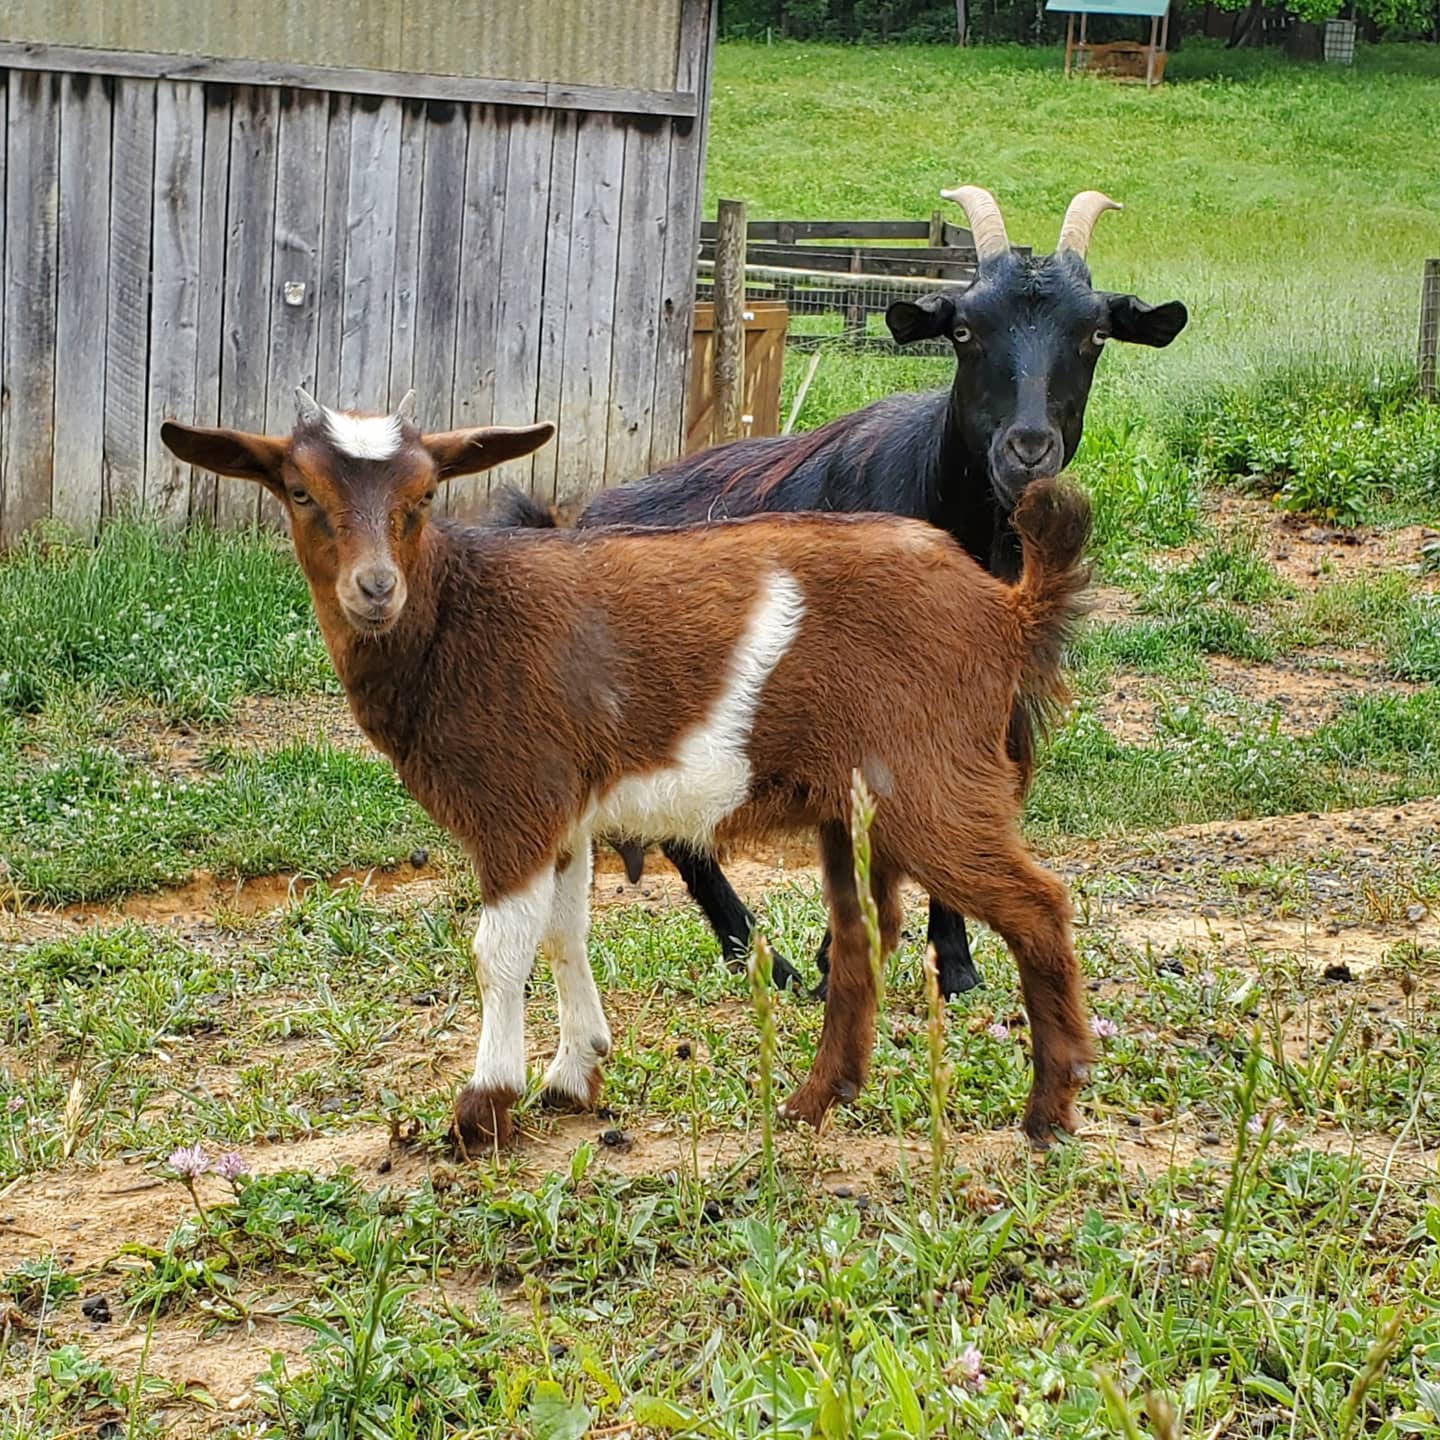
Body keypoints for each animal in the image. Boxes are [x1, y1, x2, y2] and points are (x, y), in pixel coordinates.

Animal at [161, 391, 1096, 1152]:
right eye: (300, 493)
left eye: (423, 496)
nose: (375, 588)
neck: (462, 613)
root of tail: (1007, 608)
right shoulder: (567, 812)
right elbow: (564, 932)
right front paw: (574, 1073)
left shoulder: (517, 803)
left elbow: (499, 949)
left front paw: (483, 1108)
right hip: (857, 805)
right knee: (866, 934)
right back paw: (814, 1103)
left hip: (932, 783)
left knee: (1039, 907)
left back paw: (1048, 1114)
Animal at [510, 186, 1187, 1003]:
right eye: (964, 329)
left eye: (1094, 333)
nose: (1027, 449)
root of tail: (578, 516)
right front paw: (846, 961)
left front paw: (955, 964)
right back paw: (765, 959)